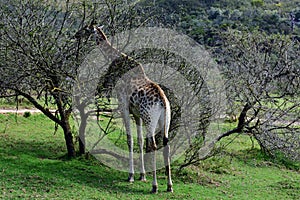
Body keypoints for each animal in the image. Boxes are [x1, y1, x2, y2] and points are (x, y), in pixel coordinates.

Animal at [77, 24, 173, 192]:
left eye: (85, 28)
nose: (76, 35)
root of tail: (163, 103)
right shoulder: (137, 114)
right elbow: (139, 141)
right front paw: (142, 175)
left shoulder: (124, 107)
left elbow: (130, 140)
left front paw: (131, 176)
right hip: (165, 121)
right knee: (165, 146)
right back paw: (169, 185)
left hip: (150, 119)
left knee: (154, 145)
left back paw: (155, 186)